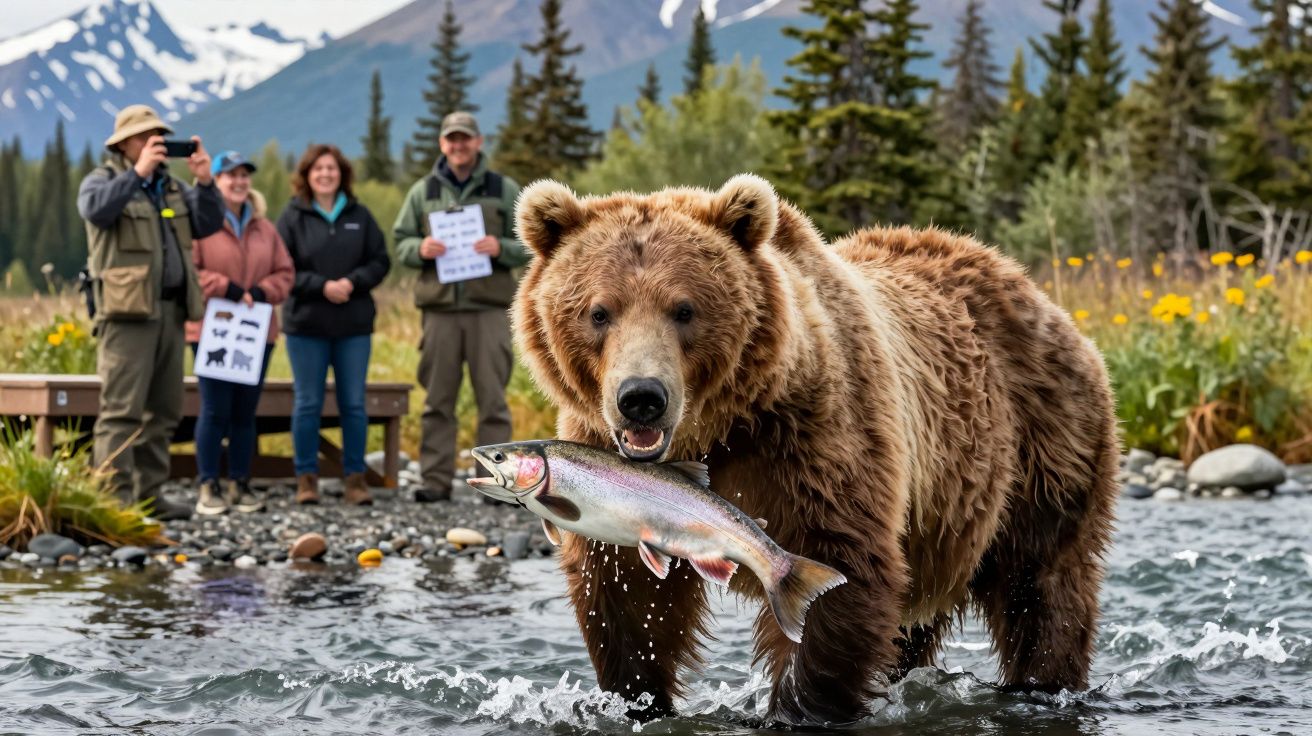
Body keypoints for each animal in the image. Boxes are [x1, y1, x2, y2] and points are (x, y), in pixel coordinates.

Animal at [512, 174, 1120, 726]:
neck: (717, 430)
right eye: (599, 311)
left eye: (684, 309)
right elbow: (627, 595)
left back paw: (1041, 686)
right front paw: (638, 701)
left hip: (1043, 445)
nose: (641, 398)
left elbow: (840, 566)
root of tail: (1029, 285)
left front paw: (796, 710)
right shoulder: (605, 466)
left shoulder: (811, 436)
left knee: (1042, 587)